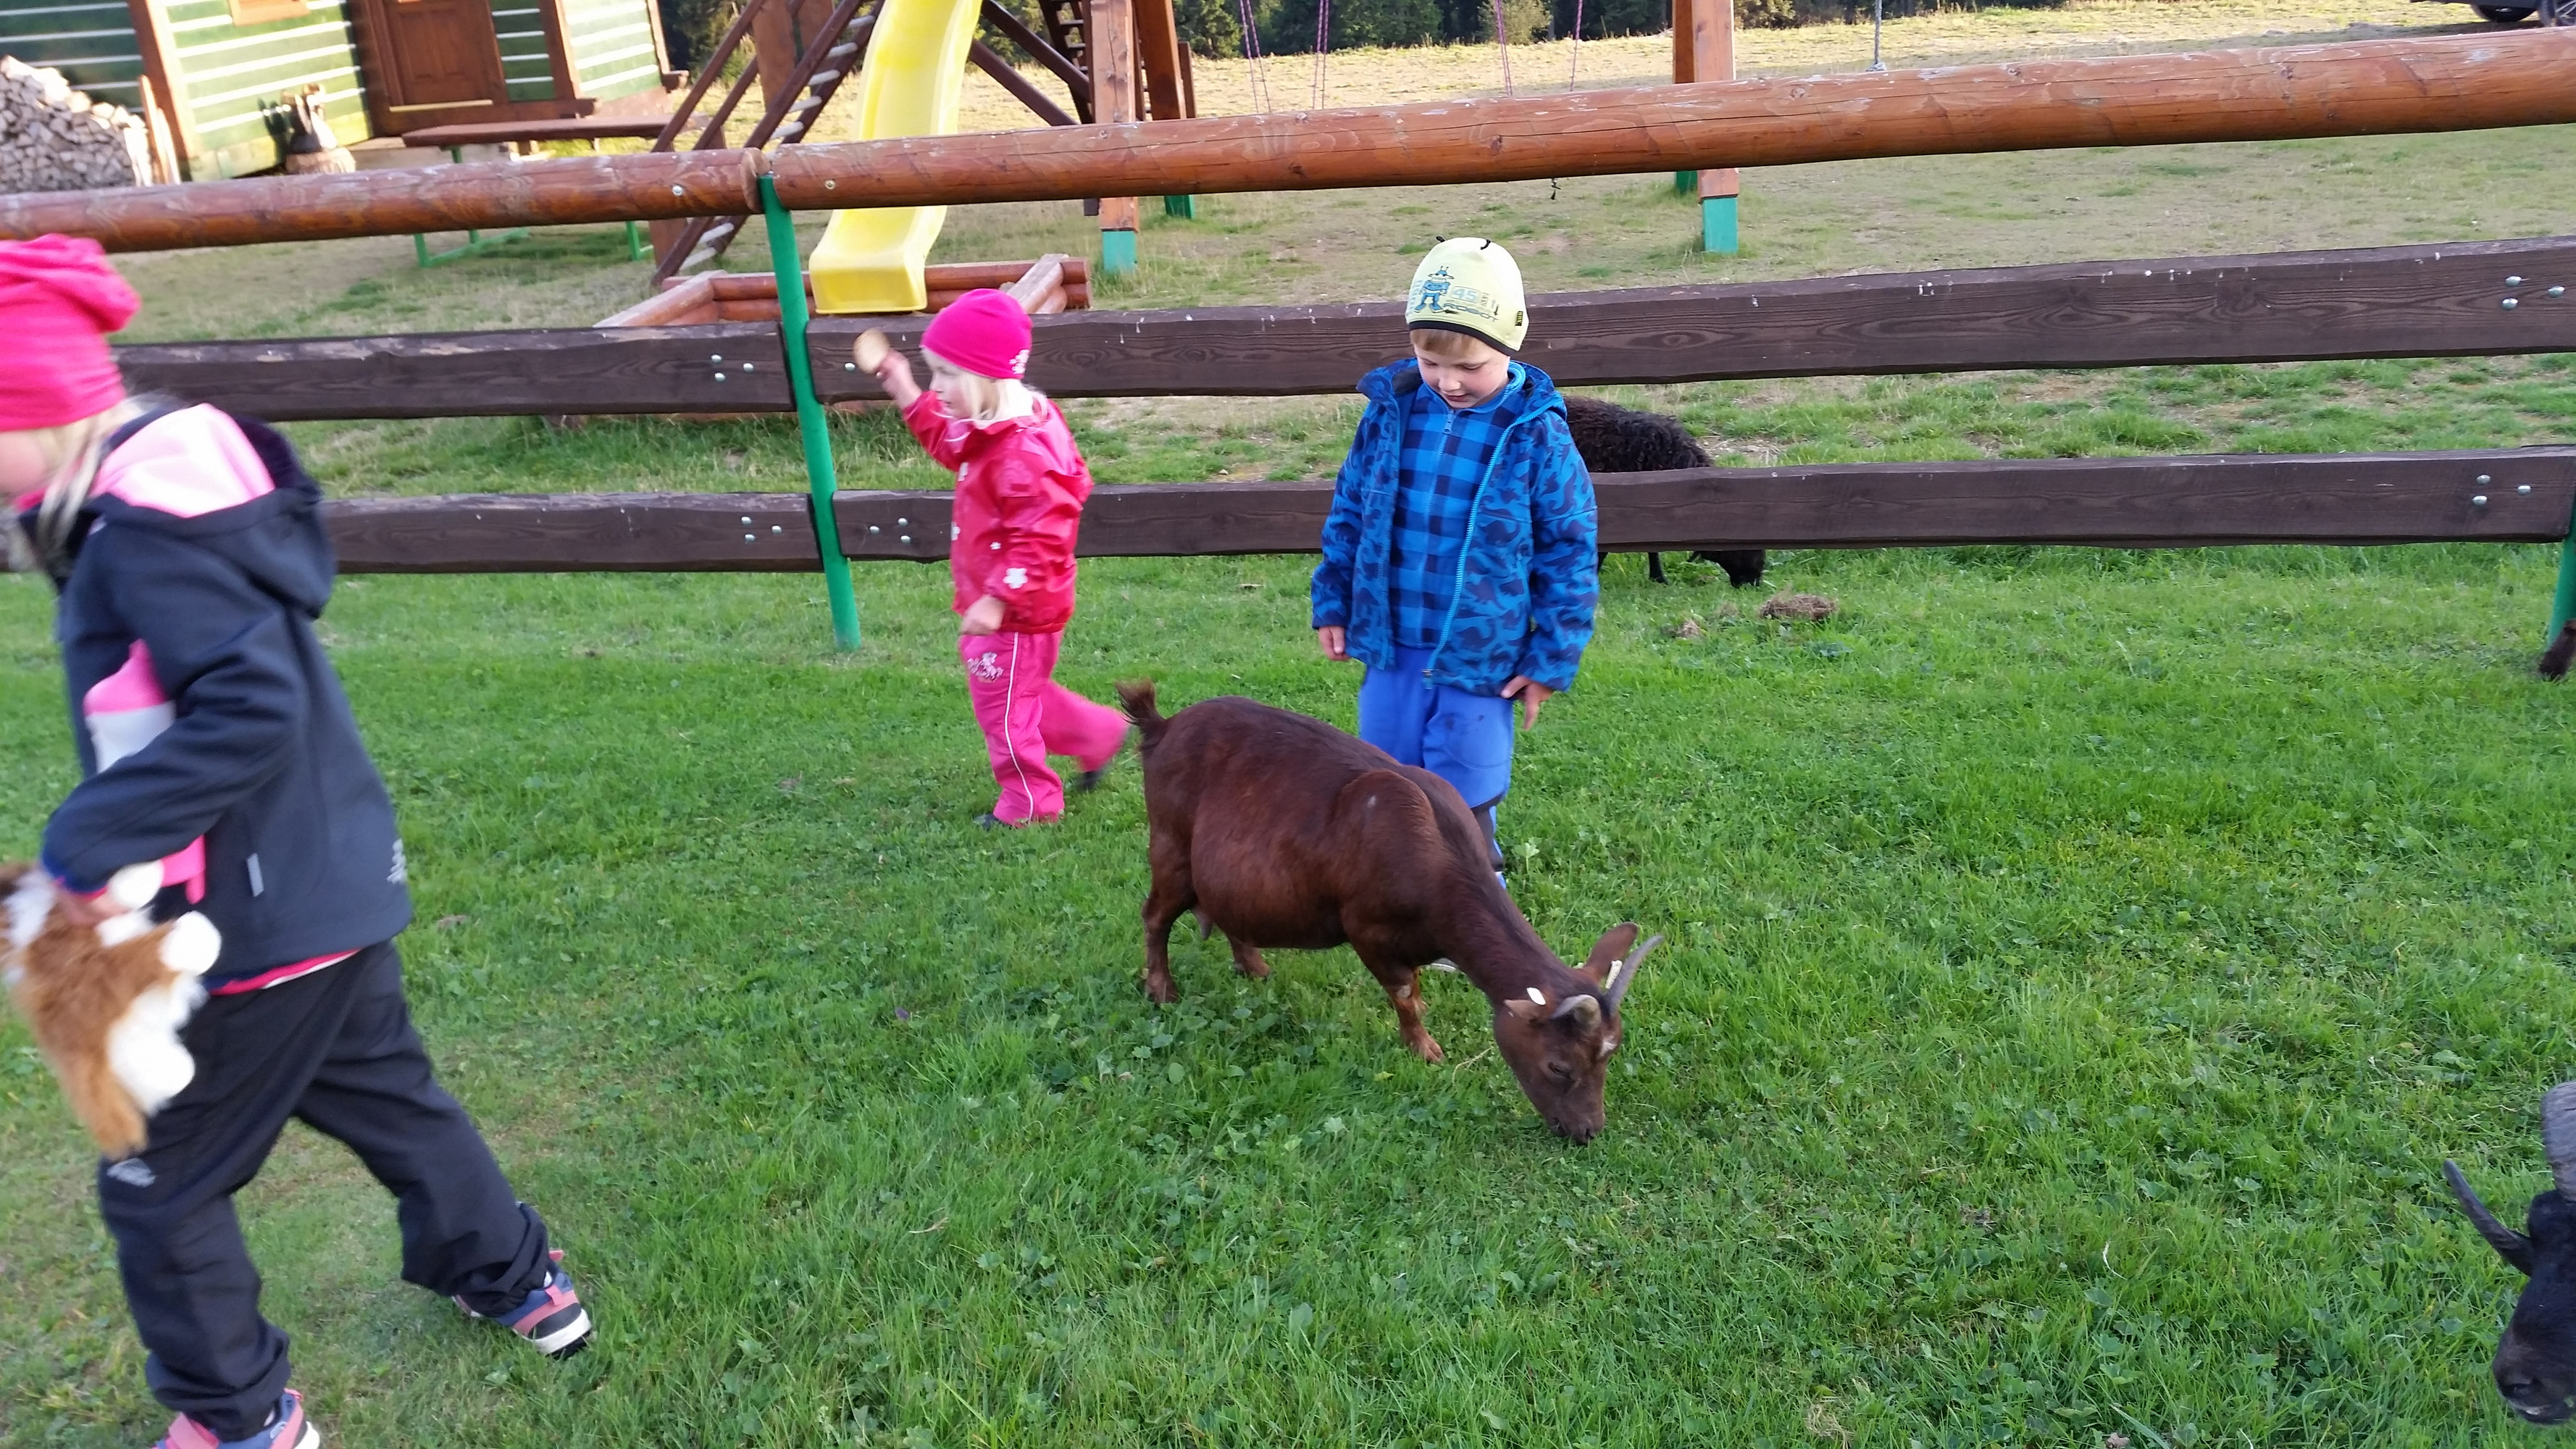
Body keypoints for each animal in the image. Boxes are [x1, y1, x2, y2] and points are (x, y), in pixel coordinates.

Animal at [1116, 681, 1659, 1142]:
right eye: (1558, 1066)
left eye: (1609, 1058)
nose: (1587, 1132)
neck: (1438, 856)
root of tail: (1162, 726)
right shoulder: (1368, 930)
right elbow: (1403, 995)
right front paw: (1425, 1050)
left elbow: (1413, 989)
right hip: (1171, 847)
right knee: (1154, 916)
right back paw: (1161, 990)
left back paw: (1253, 967)